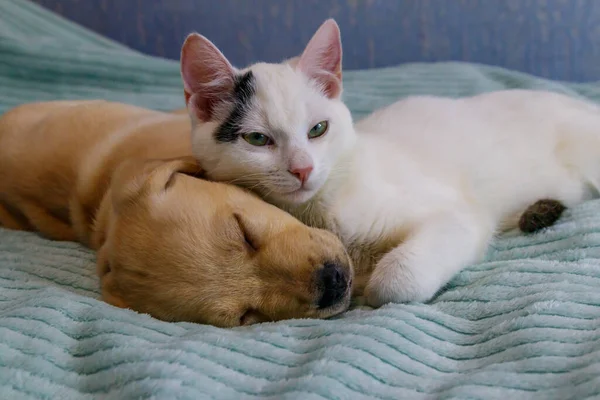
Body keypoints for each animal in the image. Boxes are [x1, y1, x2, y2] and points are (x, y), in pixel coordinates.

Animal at [179, 19, 600, 306]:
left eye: (318, 129)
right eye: (257, 139)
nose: (302, 169)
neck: (321, 207)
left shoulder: (459, 216)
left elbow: (393, 283)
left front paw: (372, 283)